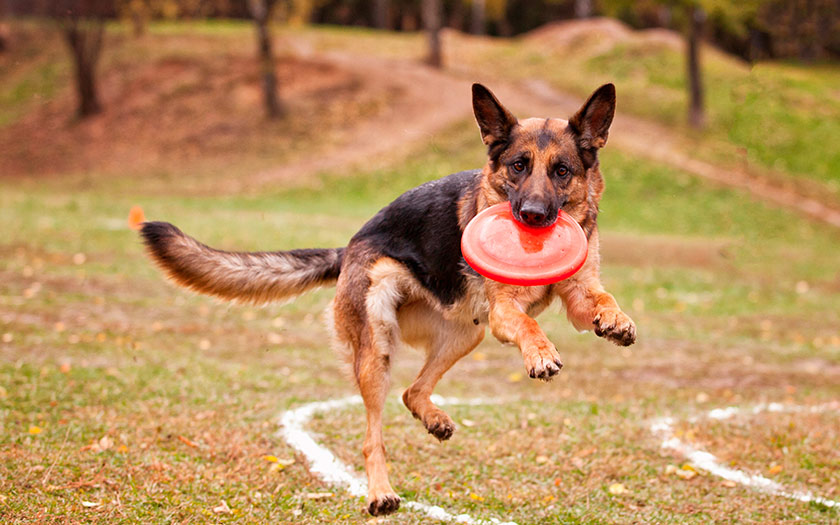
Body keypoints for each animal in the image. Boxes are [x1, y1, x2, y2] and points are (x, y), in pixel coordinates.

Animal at [139, 83, 636, 516]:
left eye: (561, 171)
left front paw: (616, 322)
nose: (532, 217)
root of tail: (348, 248)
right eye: (518, 166)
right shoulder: (503, 312)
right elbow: (530, 324)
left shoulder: (577, 294)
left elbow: (601, 298)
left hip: (463, 337)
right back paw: (380, 493)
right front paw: (540, 353)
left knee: (412, 391)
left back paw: (433, 419)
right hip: (377, 347)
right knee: (372, 433)